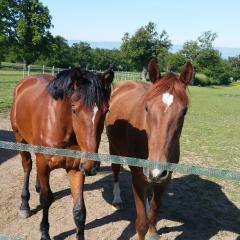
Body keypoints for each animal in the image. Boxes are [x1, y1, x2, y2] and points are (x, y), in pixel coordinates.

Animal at [10, 67, 113, 240]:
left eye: (106, 111)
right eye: (74, 109)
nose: (91, 165)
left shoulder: (76, 168)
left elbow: (79, 211)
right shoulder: (44, 163)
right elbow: (45, 199)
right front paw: (44, 233)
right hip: (20, 139)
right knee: (27, 167)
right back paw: (24, 205)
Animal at [105, 59, 193, 240]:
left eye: (184, 111)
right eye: (146, 108)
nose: (156, 170)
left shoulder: (165, 179)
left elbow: (155, 206)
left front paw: (153, 229)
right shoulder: (138, 178)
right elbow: (141, 224)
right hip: (113, 147)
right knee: (115, 171)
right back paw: (117, 199)